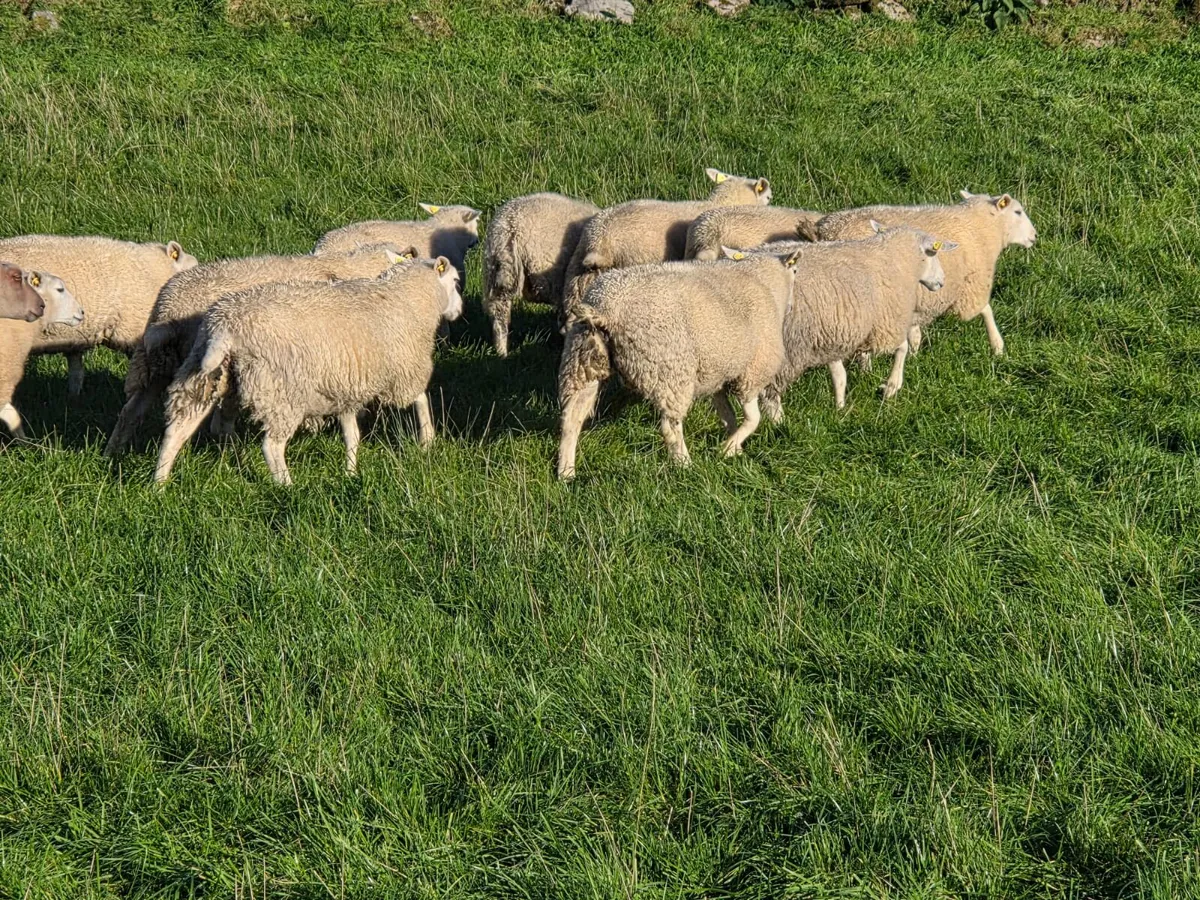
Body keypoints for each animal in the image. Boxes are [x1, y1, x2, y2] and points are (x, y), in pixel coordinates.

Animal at [0, 272, 85, 438]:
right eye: (60, 289)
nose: (82, 312)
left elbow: (12, 416)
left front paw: (24, 442)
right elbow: (12, 416)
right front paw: (26, 441)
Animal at [153, 257, 462, 486]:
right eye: (456, 282)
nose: (459, 311)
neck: (407, 298)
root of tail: (225, 328)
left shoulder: (345, 384)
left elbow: (351, 434)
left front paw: (350, 471)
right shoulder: (404, 370)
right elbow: (421, 399)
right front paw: (428, 440)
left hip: (203, 377)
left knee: (177, 431)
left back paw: (160, 483)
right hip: (281, 392)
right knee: (272, 446)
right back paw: (287, 486)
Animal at [556, 250, 799, 480]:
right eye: (795, 272)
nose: (791, 308)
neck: (762, 281)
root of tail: (604, 310)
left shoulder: (717, 374)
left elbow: (727, 414)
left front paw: (734, 445)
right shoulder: (753, 370)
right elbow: (752, 419)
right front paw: (728, 449)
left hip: (582, 360)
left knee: (571, 418)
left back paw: (566, 473)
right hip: (669, 370)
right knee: (670, 427)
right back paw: (684, 465)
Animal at [721, 225, 954, 421]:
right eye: (933, 253)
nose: (941, 282)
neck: (895, 258)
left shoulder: (831, 331)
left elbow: (839, 374)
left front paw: (840, 408)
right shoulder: (886, 322)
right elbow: (902, 348)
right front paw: (892, 386)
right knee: (769, 391)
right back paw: (778, 422)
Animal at [816, 191, 1037, 357]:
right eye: (1018, 211)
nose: (1035, 236)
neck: (979, 226)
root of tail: (828, 232)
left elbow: (914, 331)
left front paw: (914, 353)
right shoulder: (971, 286)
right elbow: (986, 310)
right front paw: (997, 346)